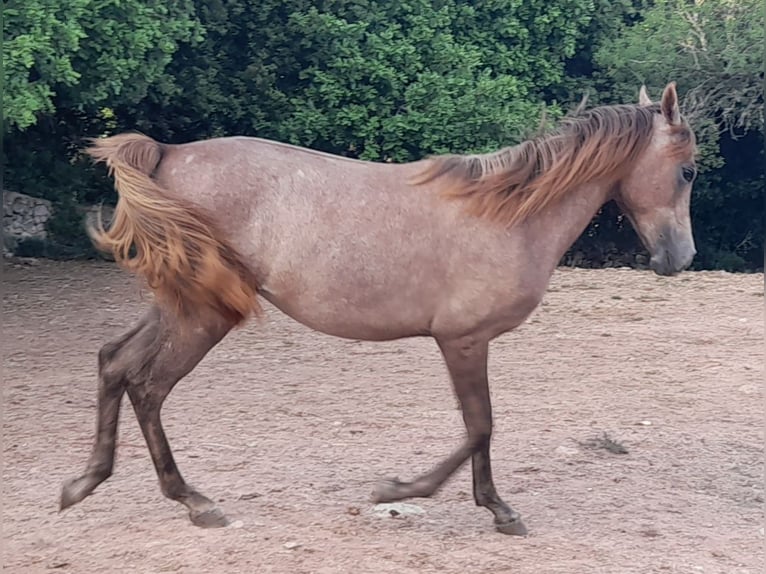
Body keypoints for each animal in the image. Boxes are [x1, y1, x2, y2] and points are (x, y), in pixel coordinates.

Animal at [58, 82, 696, 540]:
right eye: (687, 170)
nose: (682, 258)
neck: (508, 216)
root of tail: (165, 153)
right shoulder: (462, 340)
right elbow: (480, 426)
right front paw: (408, 492)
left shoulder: (468, 342)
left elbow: (480, 429)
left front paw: (488, 507)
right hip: (203, 315)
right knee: (147, 385)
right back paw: (193, 502)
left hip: (180, 305)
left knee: (115, 362)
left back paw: (85, 482)